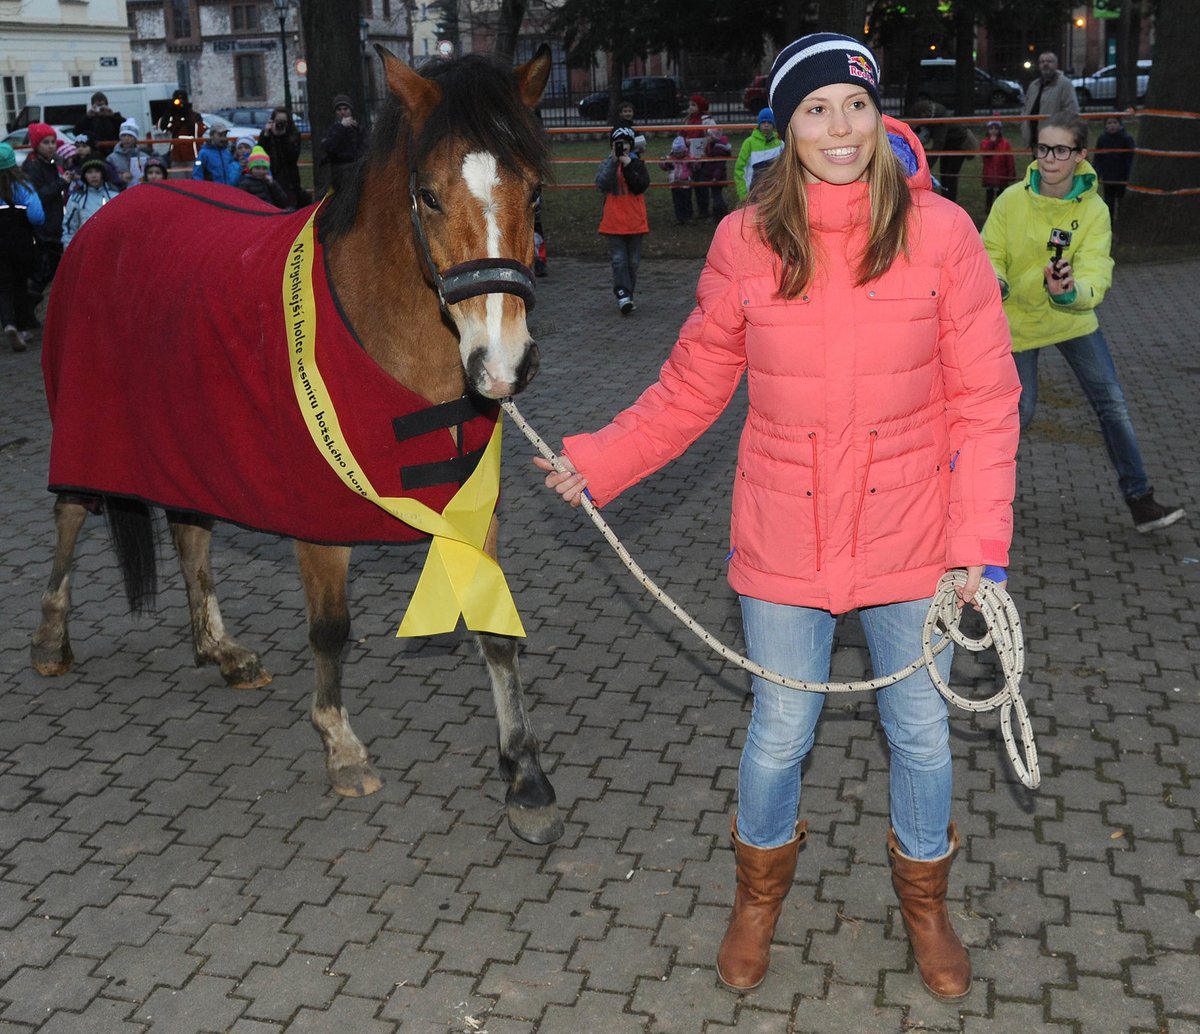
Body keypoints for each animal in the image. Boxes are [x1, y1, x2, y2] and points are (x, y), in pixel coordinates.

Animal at [30, 44, 564, 844]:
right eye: (429, 196)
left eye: (532, 193)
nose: (503, 365)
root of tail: (109, 214)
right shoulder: (316, 515)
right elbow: (331, 630)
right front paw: (341, 747)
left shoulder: (474, 508)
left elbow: (496, 631)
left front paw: (524, 776)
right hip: (91, 432)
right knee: (70, 514)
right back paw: (51, 640)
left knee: (190, 531)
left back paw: (219, 649)